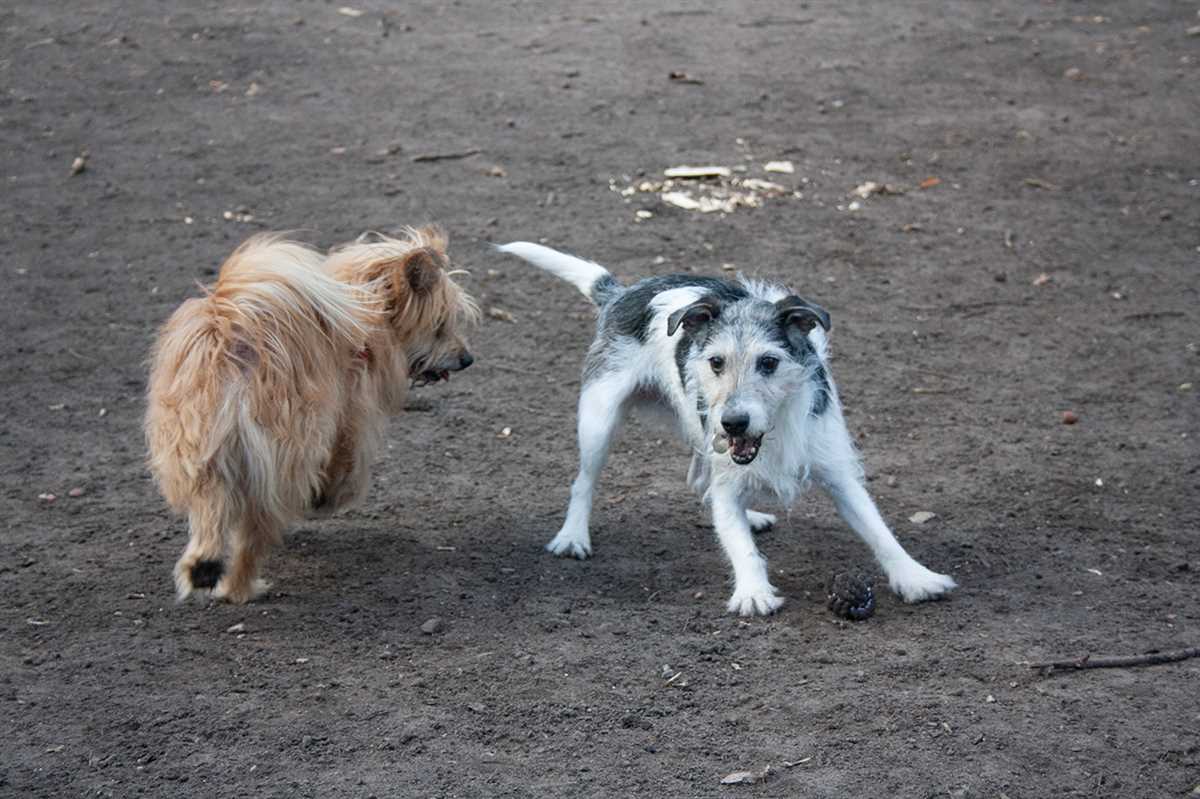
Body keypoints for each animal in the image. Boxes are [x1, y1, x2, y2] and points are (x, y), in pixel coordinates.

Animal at [144, 226, 472, 599]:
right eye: (441, 324)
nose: (467, 358)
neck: (368, 316)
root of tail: (235, 350)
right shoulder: (350, 420)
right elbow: (346, 468)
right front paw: (325, 497)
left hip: (198, 453)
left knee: (209, 513)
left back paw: (204, 569)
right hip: (281, 459)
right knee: (251, 536)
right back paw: (241, 587)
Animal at [499, 242, 955, 614]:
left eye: (769, 362)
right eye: (716, 362)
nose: (733, 422)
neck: (774, 431)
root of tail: (621, 292)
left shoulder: (838, 473)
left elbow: (879, 531)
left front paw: (916, 578)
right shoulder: (726, 470)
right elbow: (739, 544)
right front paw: (753, 592)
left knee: (698, 480)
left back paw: (751, 515)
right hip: (599, 420)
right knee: (584, 482)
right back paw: (573, 536)